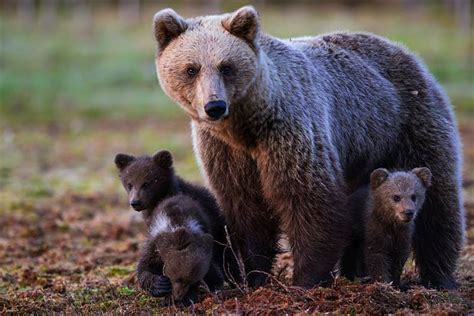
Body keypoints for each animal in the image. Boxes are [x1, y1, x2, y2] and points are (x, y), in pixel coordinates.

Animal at [154, 6, 464, 288]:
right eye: (191, 68)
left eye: (226, 66)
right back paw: (356, 273)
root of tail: (404, 50)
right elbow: (245, 211)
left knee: (437, 203)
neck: (247, 127)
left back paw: (438, 277)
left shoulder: (290, 131)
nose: (214, 106)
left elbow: (310, 201)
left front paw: (306, 279)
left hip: (406, 124)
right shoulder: (226, 153)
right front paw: (252, 275)